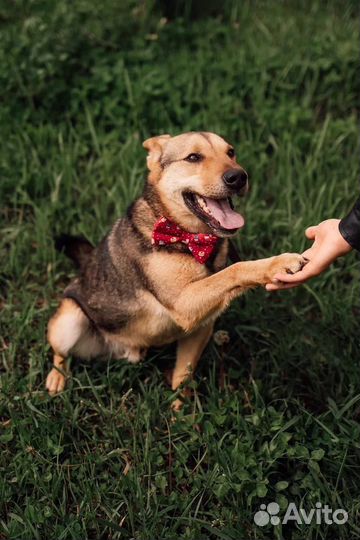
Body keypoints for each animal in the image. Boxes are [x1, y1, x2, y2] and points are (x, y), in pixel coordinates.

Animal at [45, 131, 306, 410]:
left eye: (231, 152)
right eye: (193, 157)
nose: (238, 177)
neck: (191, 238)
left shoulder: (201, 326)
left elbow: (183, 374)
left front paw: (181, 412)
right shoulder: (183, 303)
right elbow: (234, 270)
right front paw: (277, 263)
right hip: (69, 320)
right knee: (60, 354)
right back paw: (57, 378)